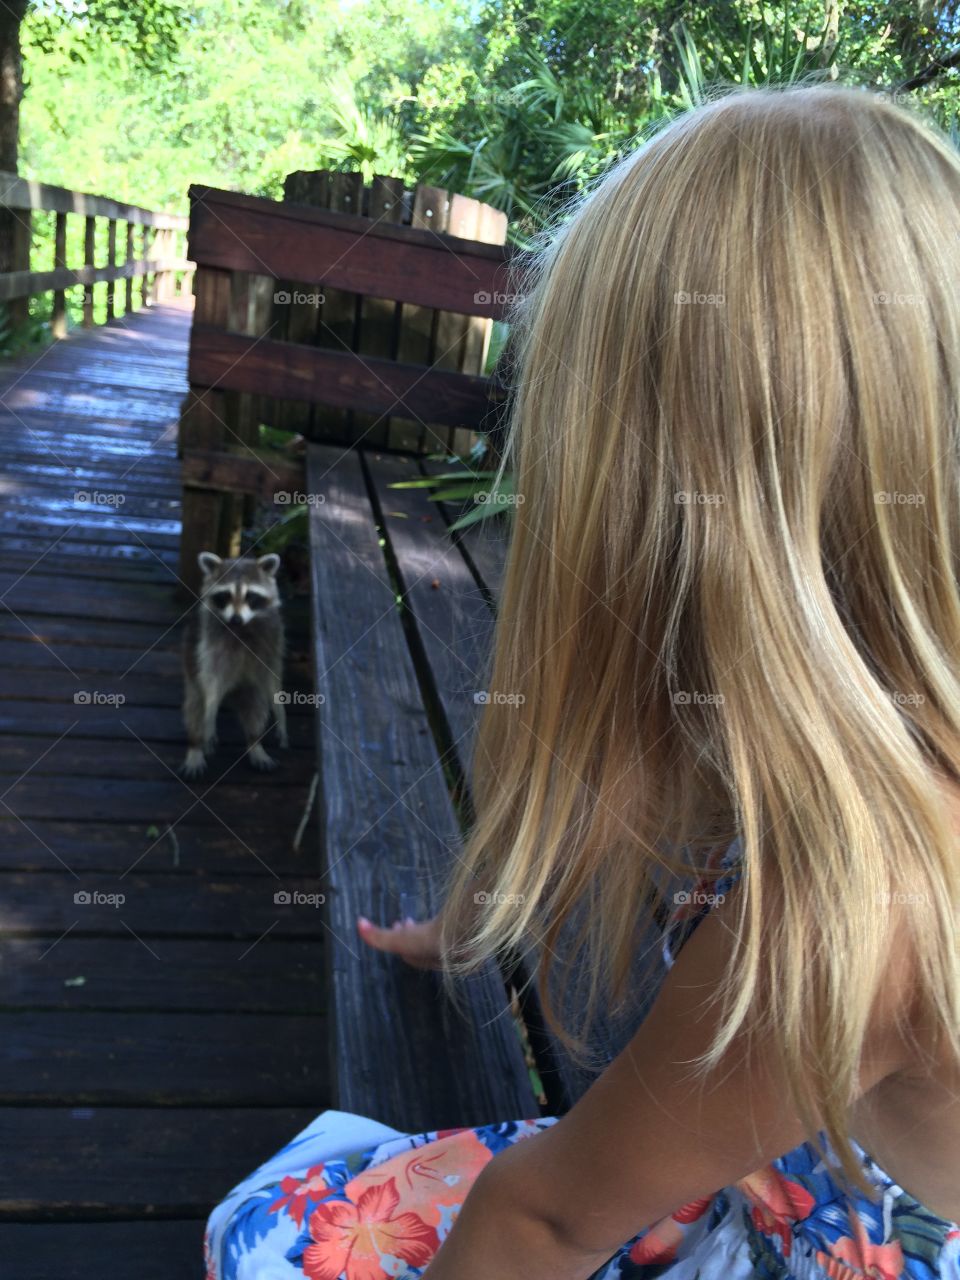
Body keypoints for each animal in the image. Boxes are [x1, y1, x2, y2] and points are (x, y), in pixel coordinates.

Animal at [179, 545, 288, 773]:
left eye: (251, 596)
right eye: (225, 595)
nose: (236, 619)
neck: (242, 628)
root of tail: (232, 689)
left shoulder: (273, 637)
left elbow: (273, 676)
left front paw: (280, 712)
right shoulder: (209, 639)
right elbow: (210, 678)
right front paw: (209, 718)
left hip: (250, 688)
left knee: (256, 709)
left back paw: (255, 742)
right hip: (189, 658)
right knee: (195, 704)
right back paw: (195, 744)